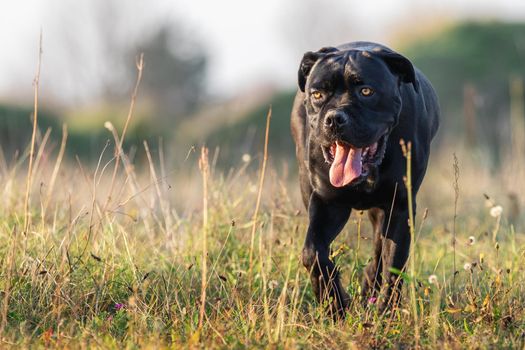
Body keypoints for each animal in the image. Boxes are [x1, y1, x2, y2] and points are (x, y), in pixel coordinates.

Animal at [290, 42, 438, 316]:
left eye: (366, 91)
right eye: (317, 94)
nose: (335, 118)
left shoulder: (400, 206)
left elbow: (392, 264)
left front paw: (386, 314)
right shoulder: (327, 204)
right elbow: (313, 253)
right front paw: (334, 304)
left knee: (380, 249)